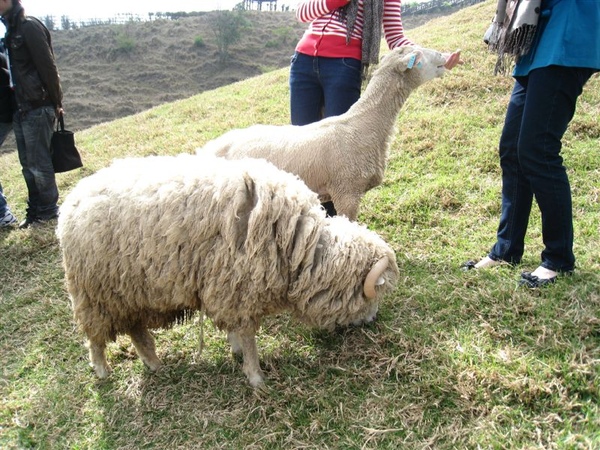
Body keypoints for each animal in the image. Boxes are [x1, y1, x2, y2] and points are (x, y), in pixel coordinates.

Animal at [57, 155, 398, 386]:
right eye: (372, 294)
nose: (374, 321)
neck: (298, 243)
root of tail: (72, 201)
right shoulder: (239, 288)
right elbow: (248, 338)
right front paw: (256, 376)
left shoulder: (230, 290)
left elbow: (236, 331)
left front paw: (236, 352)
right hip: (94, 293)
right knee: (95, 338)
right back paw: (102, 370)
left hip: (128, 292)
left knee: (137, 332)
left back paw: (154, 365)